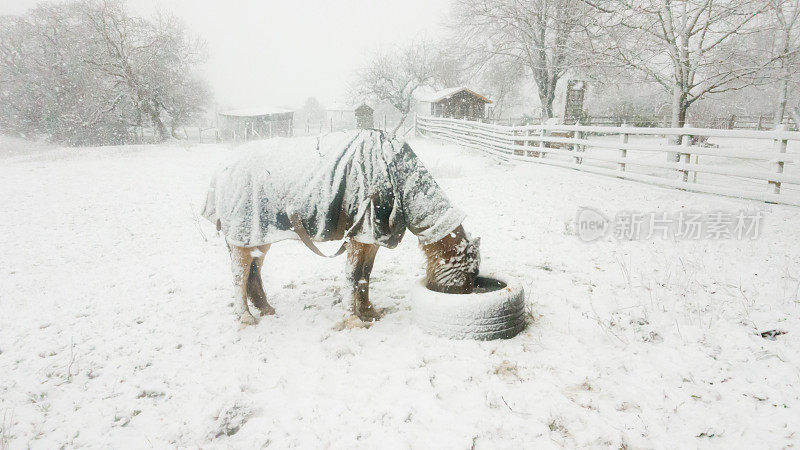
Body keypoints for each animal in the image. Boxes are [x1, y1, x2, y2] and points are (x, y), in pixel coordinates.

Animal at [203, 130, 482, 326]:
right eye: (470, 272)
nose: (464, 297)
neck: (391, 171)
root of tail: (221, 170)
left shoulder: (370, 237)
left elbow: (365, 275)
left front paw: (369, 312)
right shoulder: (360, 236)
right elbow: (352, 275)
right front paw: (353, 319)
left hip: (258, 237)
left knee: (254, 271)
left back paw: (265, 308)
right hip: (243, 237)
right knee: (239, 275)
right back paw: (245, 316)